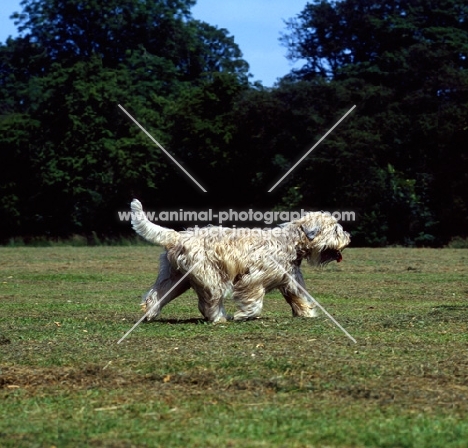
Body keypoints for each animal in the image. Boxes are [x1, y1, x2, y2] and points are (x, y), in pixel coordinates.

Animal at [130, 200, 350, 322]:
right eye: (336, 230)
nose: (349, 238)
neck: (290, 242)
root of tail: (177, 237)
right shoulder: (253, 280)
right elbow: (254, 301)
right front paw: (244, 315)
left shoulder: (290, 280)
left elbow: (298, 297)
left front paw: (306, 313)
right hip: (212, 279)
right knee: (210, 303)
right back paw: (220, 318)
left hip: (175, 280)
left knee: (155, 296)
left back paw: (150, 314)